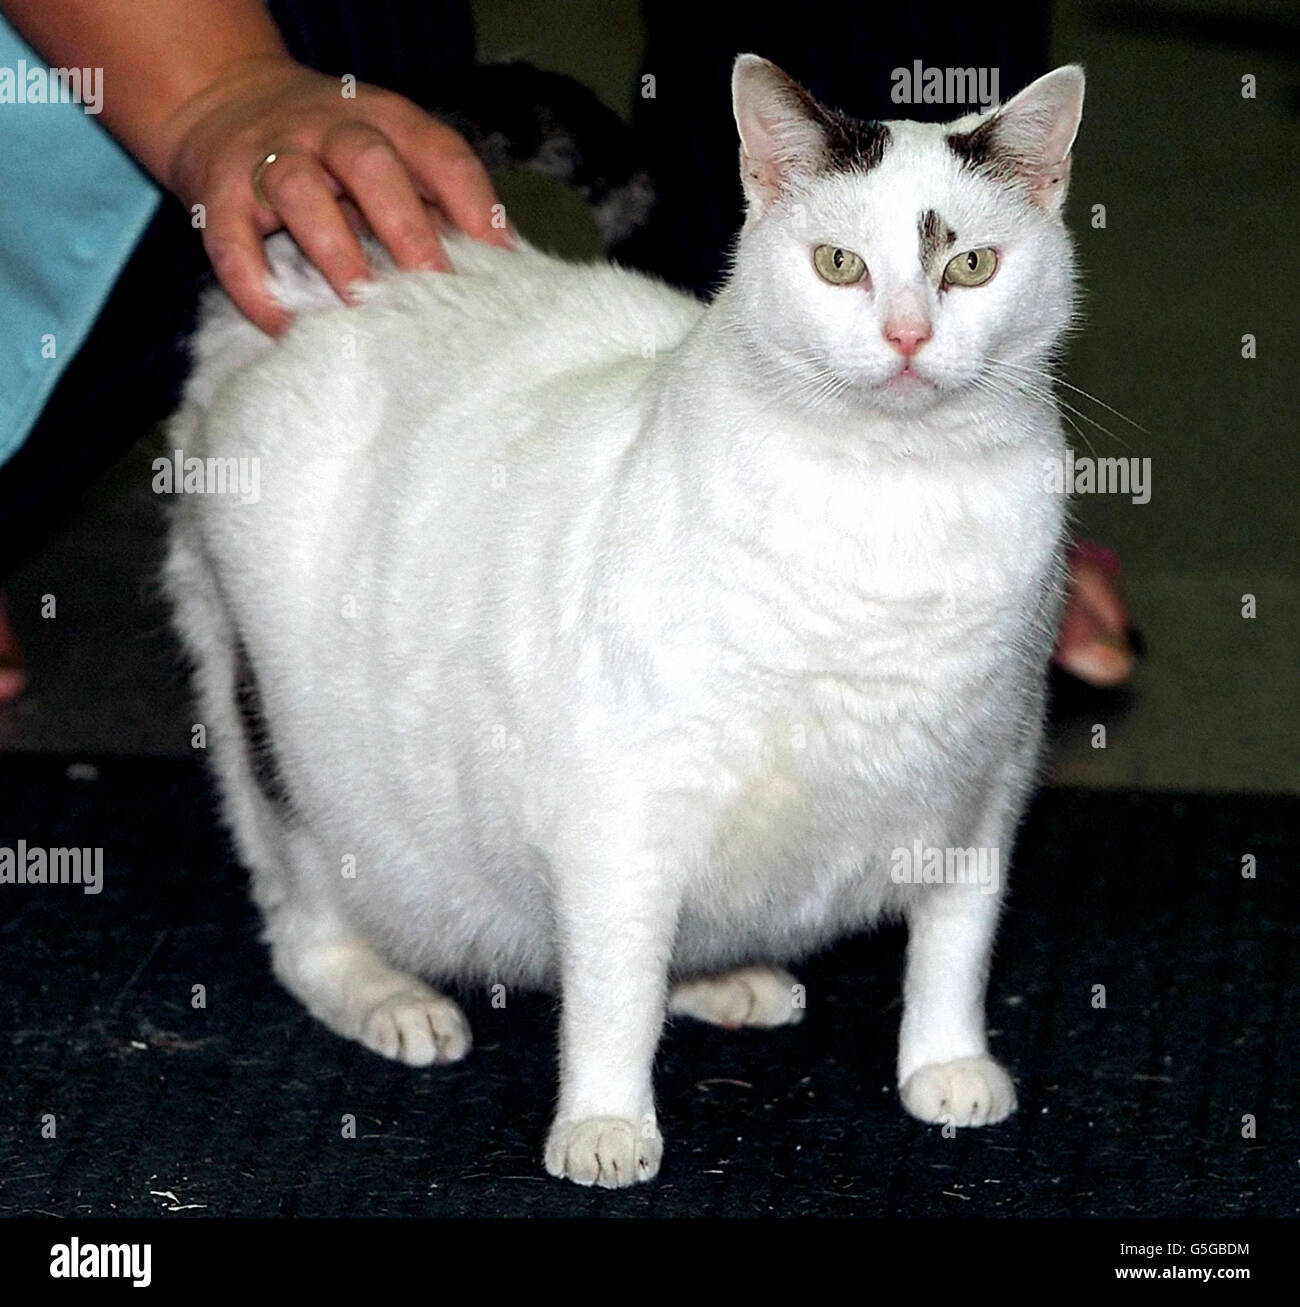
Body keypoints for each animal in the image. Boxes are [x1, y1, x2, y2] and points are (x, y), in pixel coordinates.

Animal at [167, 58, 1087, 1186]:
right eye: (838, 265)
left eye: (970, 264)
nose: (908, 335)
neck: (895, 510)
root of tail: (320, 280)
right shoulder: (620, 809)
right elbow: (612, 984)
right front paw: (604, 1121)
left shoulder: (984, 787)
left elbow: (956, 945)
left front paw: (947, 1064)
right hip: (277, 746)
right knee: (302, 923)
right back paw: (385, 994)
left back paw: (724, 974)